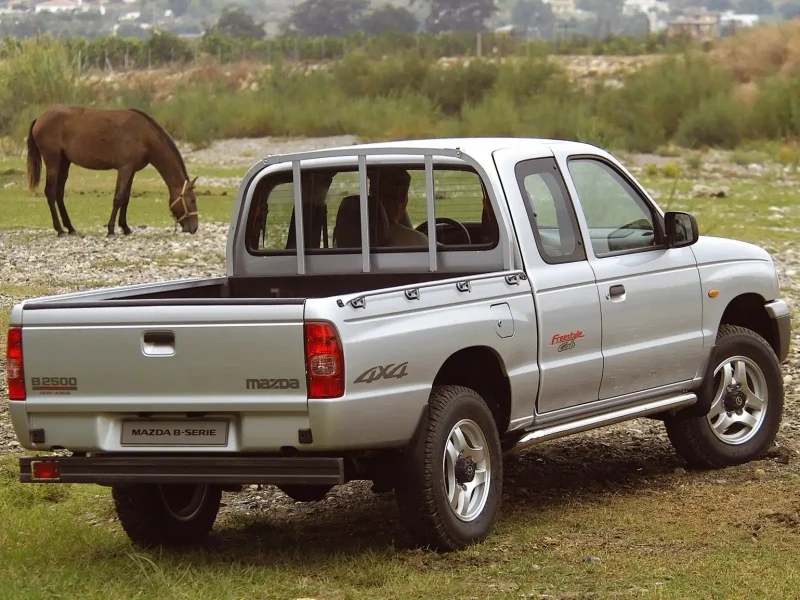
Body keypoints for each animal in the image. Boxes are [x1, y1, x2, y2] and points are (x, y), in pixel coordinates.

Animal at [27, 104, 200, 236]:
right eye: (192, 200)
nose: (194, 228)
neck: (144, 135)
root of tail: (39, 118)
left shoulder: (131, 171)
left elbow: (126, 198)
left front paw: (125, 228)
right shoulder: (124, 169)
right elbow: (118, 198)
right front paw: (111, 229)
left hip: (64, 163)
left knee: (59, 193)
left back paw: (70, 228)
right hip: (53, 162)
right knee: (50, 192)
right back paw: (59, 229)